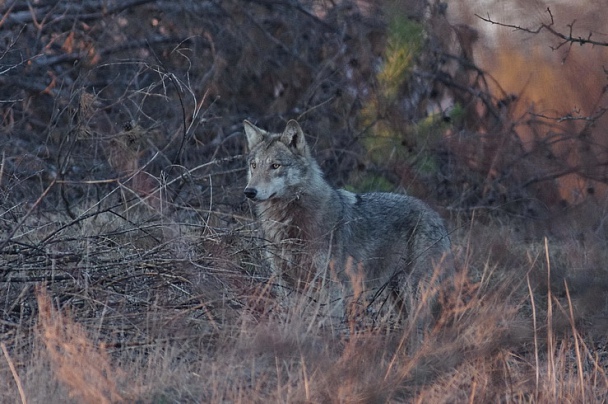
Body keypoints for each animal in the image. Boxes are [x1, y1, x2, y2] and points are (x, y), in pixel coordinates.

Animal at [242, 119, 452, 322]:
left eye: (275, 166)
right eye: (254, 165)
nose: (249, 191)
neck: (287, 220)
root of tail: (437, 218)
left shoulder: (331, 286)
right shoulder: (285, 282)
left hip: (414, 294)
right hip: (397, 297)